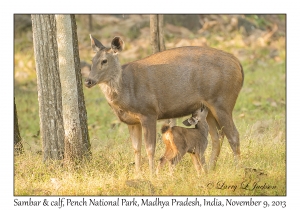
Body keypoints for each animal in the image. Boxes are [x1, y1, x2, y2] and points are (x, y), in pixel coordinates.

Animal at [84, 35, 244, 175]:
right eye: (92, 60)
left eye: (104, 61)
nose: (88, 81)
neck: (126, 92)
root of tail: (238, 63)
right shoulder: (132, 122)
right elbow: (136, 149)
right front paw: (138, 174)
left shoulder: (149, 112)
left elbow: (150, 148)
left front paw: (151, 175)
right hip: (208, 108)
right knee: (217, 137)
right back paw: (210, 169)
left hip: (222, 101)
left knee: (233, 135)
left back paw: (237, 169)